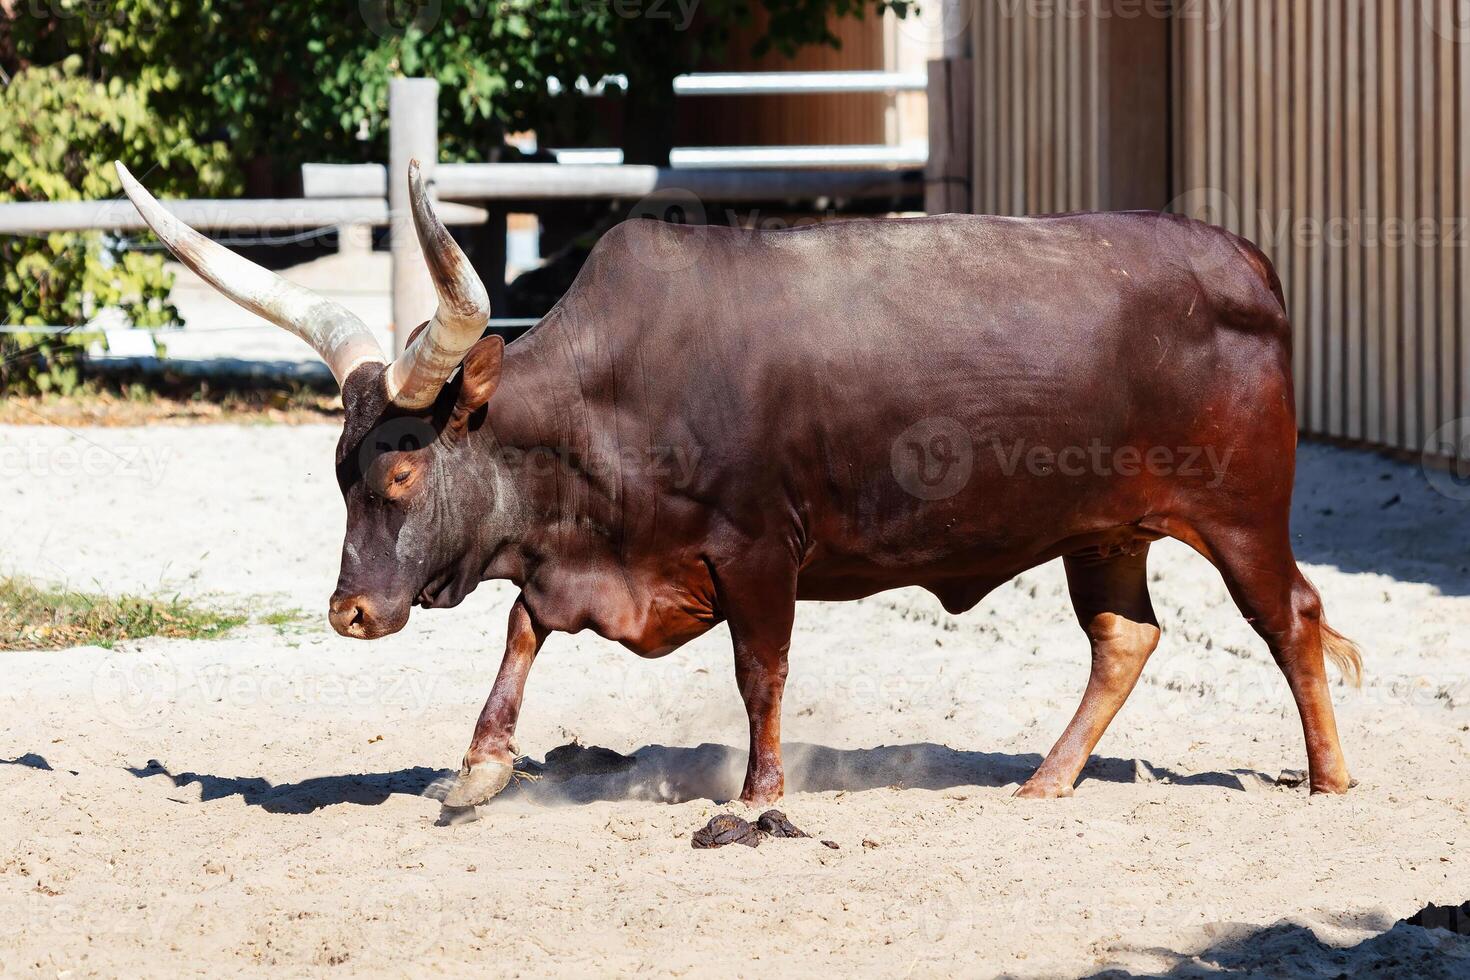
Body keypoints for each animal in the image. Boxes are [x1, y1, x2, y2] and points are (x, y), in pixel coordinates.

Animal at [120, 159, 1358, 805]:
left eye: (409, 463)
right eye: (338, 469)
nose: (352, 610)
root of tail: (1241, 259)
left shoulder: (763, 549)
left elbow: (761, 671)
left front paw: (761, 792)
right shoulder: (597, 564)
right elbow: (523, 626)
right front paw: (479, 762)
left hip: (1240, 511)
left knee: (1293, 616)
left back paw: (1328, 776)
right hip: (1105, 527)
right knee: (1123, 637)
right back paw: (1047, 779)